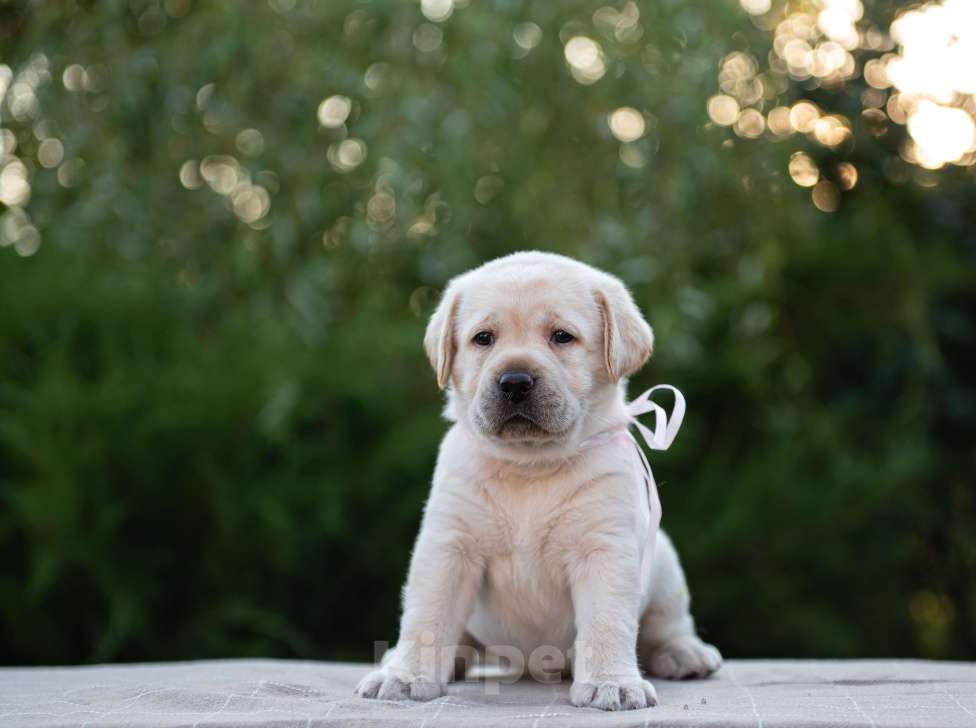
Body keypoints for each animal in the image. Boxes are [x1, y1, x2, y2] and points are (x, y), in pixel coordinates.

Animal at [354, 252, 720, 712]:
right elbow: (427, 616)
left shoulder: (604, 547)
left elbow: (608, 621)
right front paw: (405, 675)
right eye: (483, 338)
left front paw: (611, 683)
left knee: (666, 625)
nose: (515, 381)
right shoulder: (449, 545)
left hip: (666, 564)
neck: (530, 466)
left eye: (561, 336)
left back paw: (684, 653)